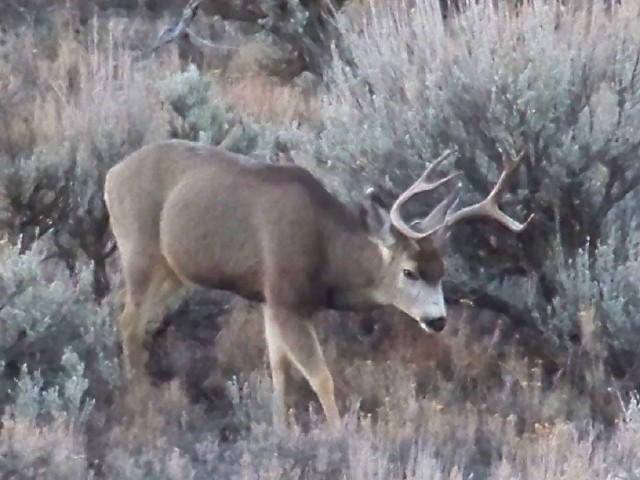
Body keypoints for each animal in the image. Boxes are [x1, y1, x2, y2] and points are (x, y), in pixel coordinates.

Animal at [105, 139, 532, 432]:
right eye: (409, 271)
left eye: (442, 270)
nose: (438, 320)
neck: (326, 255)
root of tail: (112, 174)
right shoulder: (285, 297)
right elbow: (321, 376)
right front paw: (340, 435)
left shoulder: (270, 300)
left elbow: (279, 368)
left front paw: (282, 430)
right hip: (139, 249)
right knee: (128, 321)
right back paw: (140, 399)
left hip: (173, 271)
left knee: (137, 321)